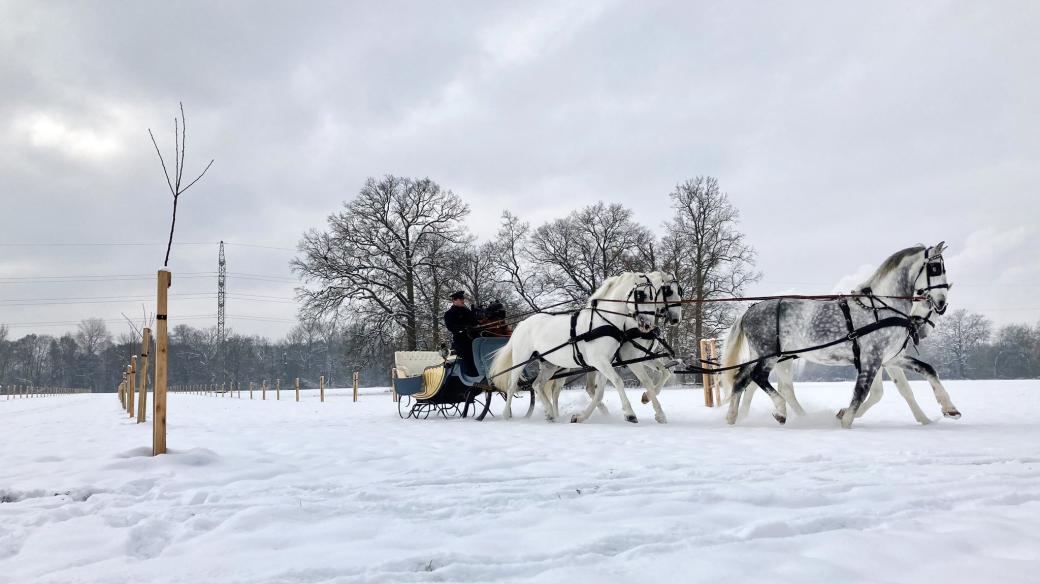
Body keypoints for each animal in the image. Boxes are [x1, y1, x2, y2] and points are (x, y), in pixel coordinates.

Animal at [488, 272, 653, 421]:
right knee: (511, 386)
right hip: (520, 359)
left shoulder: (605, 362)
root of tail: (522, 323)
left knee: (537, 385)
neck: (602, 321)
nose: (648, 323)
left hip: (550, 365)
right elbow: (618, 381)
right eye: (641, 295)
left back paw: (551, 413)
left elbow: (600, 391)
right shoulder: (598, 361)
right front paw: (630, 414)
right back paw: (507, 414)